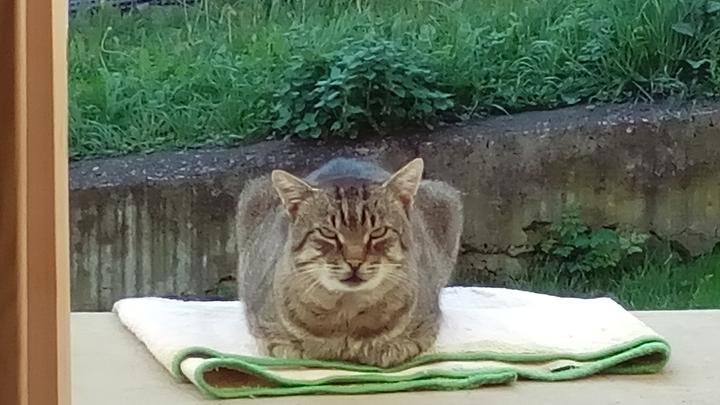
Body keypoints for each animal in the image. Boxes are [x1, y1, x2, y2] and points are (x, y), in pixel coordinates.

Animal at [236, 157, 463, 367]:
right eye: (328, 233)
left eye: (378, 232)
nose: (355, 261)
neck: (347, 313)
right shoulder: (270, 333)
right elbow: (293, 350)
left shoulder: (424, 326)